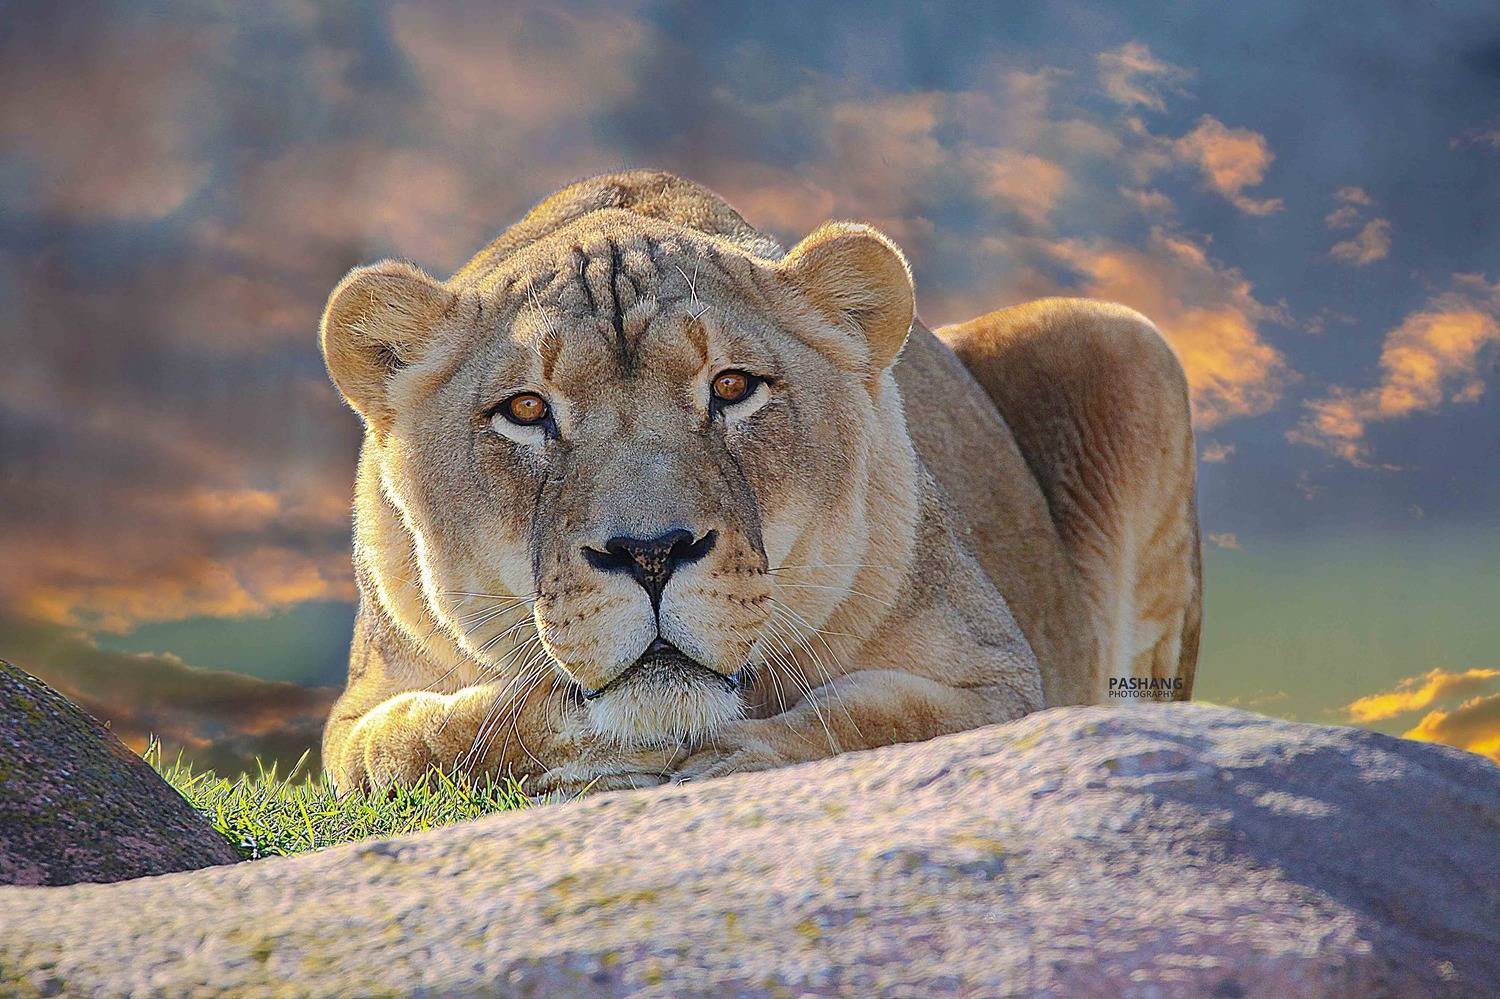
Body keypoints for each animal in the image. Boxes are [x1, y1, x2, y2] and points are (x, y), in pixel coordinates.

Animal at [318, 170, 1200, 794]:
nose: (650, 553)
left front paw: (733, 751)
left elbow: (870, 723)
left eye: (734, 386)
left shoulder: (1002, 679)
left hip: (1122, 339)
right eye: (527, 409)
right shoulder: (358, 713)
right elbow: (419, 746)